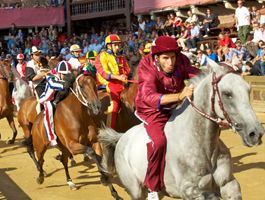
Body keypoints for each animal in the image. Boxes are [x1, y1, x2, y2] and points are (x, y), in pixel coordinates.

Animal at [23, 70, 120, 198]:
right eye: (82, 86)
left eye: (94, 83)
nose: (97, 106)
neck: (77, 115)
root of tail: (36, 121)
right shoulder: (73, 145)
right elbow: (90, 151)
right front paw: (104, 177)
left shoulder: (94, 142)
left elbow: (100, 160)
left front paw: (113, 191)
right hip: (40, 146)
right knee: (40, 160)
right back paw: (40, 177)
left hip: (63, 148)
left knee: (63, 161)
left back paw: (70, 182)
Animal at [98, 57, 262, 200]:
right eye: (227, 93)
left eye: (248, 89)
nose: (256, 133)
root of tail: (122, 137)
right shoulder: (187, 189)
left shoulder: (228, 183)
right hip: (135, 191)